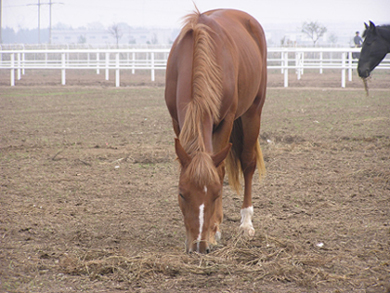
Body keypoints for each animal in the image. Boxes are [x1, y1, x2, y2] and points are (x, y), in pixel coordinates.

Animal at [163, 8, 266, 252]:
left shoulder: (226, 120)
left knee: (248, 163)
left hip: (253, 111)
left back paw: (246, 222)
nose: (199, 246)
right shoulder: (177, 121)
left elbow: (220, 171)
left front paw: (215, 230)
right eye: (181, 194)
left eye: (217, 194)